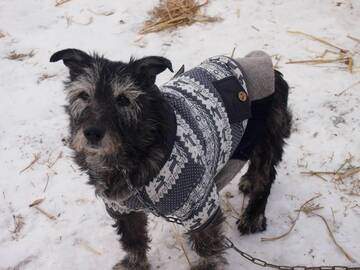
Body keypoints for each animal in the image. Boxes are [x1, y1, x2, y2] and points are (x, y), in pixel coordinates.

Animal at [50, 49, 292, 270]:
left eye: (123, 99)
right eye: (84, 95)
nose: (92, 133)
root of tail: (270, 67)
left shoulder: (200, 206)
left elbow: (206, 243)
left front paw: (207, 266)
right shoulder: (122, 209)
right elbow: (133, 240)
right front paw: (134, 264)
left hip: (265, 138)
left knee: (266, 177)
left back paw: (253, 216)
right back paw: (248, 181)